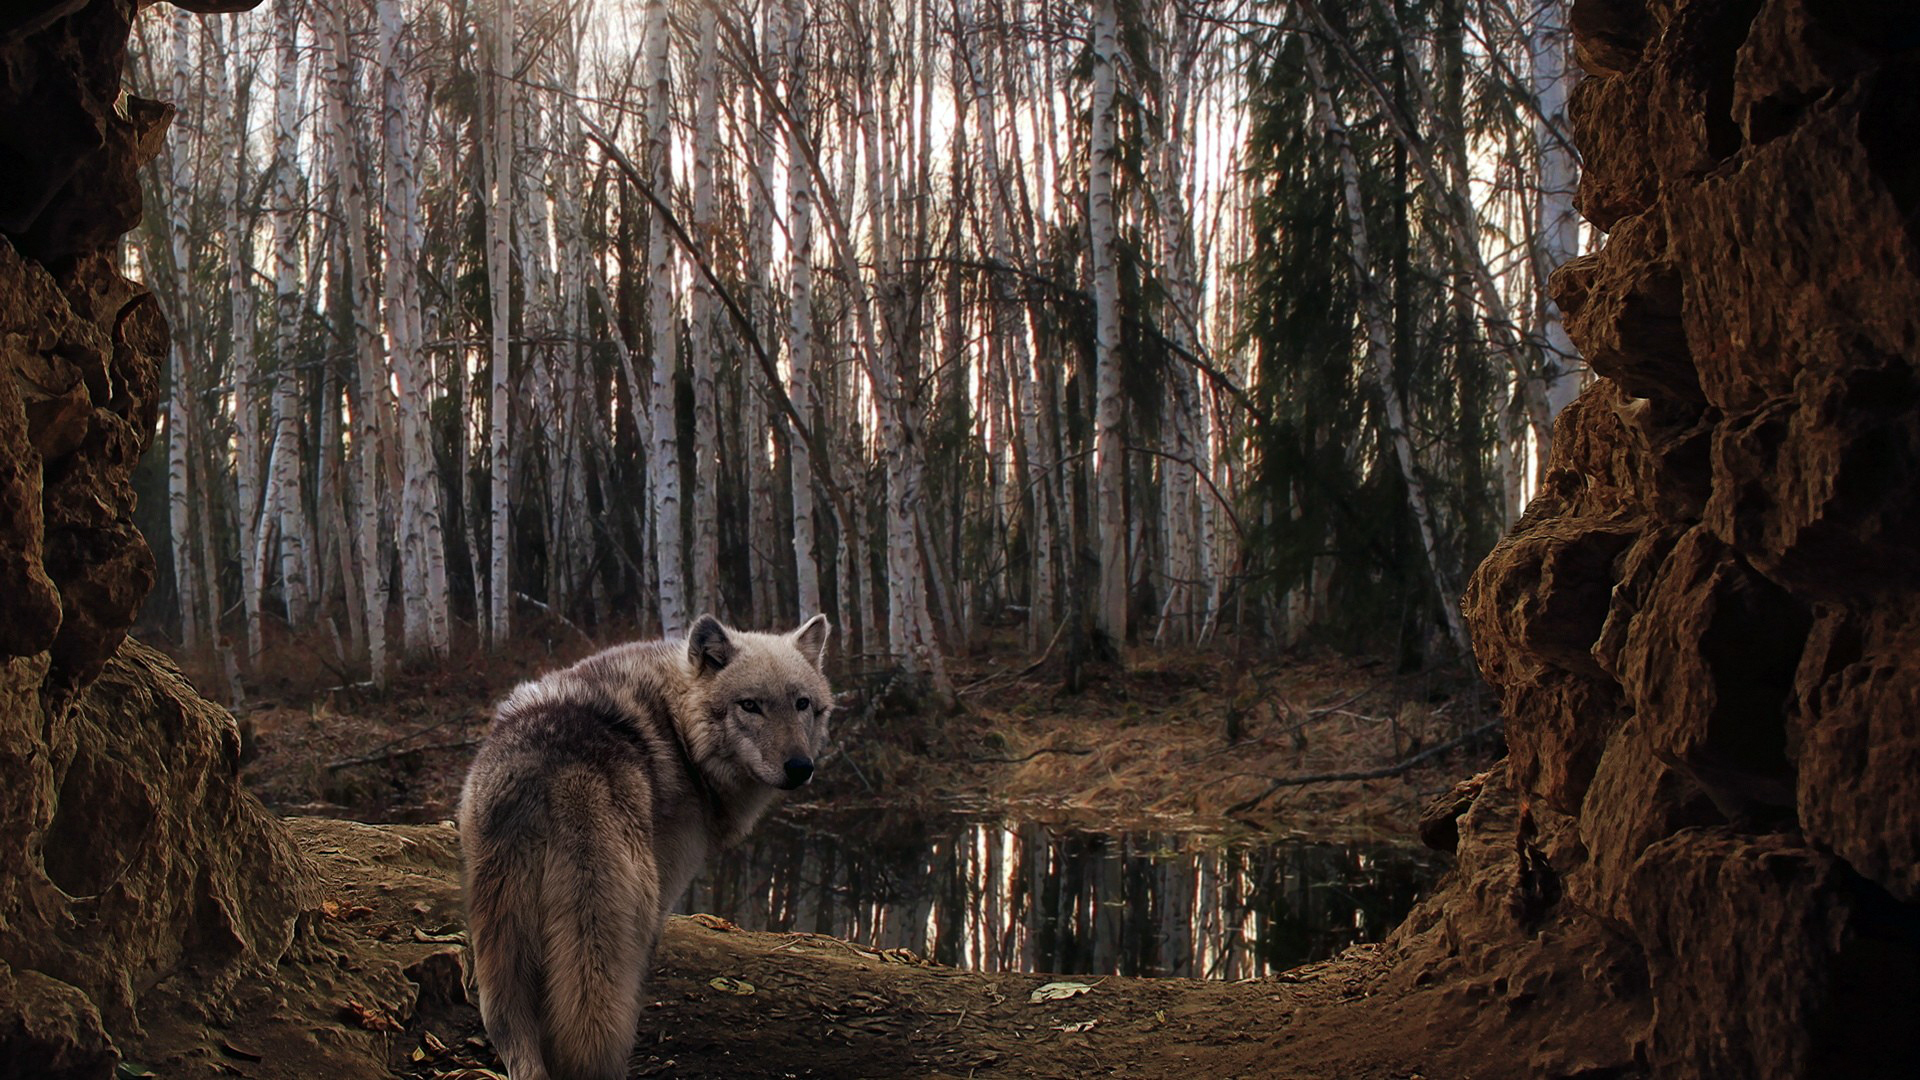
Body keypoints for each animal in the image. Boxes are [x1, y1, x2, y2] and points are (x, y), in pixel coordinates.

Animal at [462, 614, 833, 1076]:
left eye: (802, 703)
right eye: (749, 705)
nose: (800, 767)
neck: (679, 731)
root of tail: (557, 772)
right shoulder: (664, 895)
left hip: (501, 947)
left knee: (517, 1043)